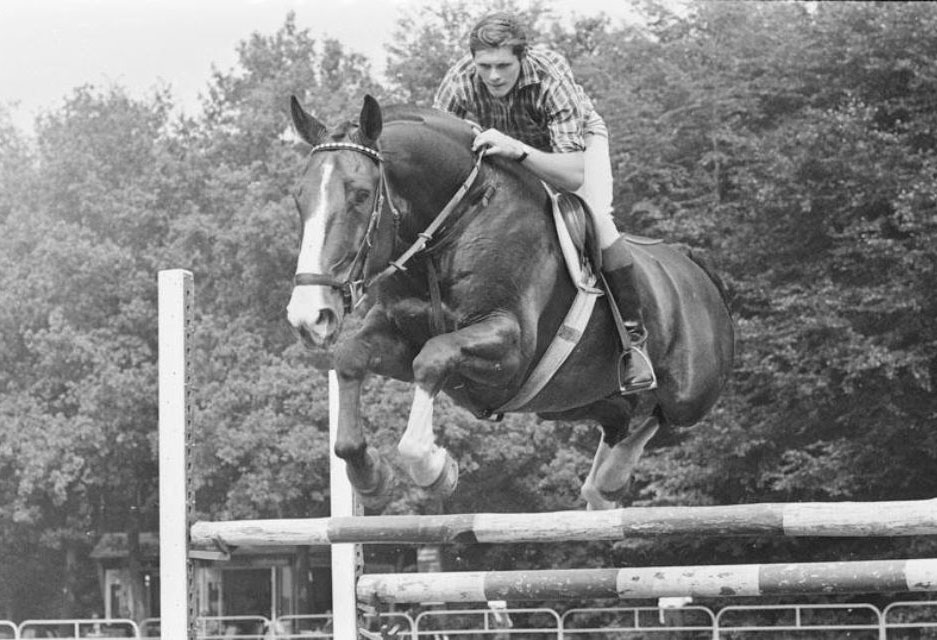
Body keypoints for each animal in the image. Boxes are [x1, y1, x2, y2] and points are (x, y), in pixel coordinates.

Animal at [286, 95, 732, 510]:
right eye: (299, 198)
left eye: (361, 195)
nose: (309, 315)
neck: (455, 225)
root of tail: (695, 269)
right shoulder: (398, 334)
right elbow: (350, 357)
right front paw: (371, 479)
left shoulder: (510, 348)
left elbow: (432, 358)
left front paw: (435, 470)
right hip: (570, 402)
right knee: (621, 419)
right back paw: (602, 487)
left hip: (689, 397)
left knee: (657, 418)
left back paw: (608, 479)